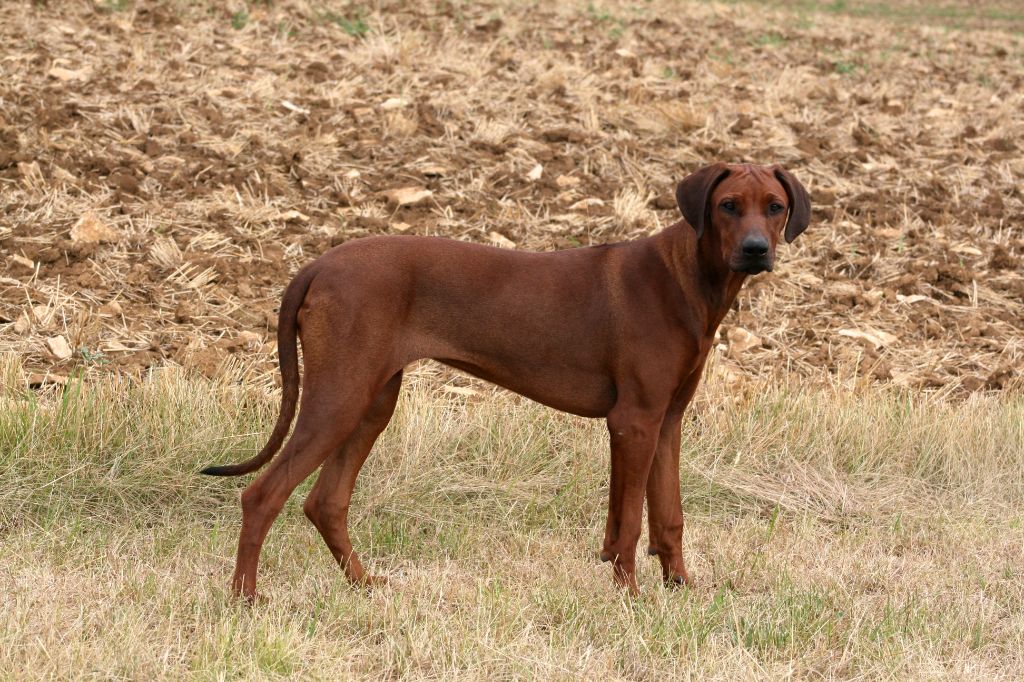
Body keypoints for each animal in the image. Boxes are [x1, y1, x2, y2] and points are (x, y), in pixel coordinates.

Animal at [201, 163, 806, 593]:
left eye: (774, 207)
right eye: (727, 206)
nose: (757, 250)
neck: (686, 278)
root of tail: (317, 265)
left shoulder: (667, 420)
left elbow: (667, 516)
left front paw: (679, 588)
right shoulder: (633, 421)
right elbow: (631, 522)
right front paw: (631, 596)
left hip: (371, 401)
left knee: (325, 502)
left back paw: (364, 583)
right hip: (339, 397)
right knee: (262, 495)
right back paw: (246, 598)